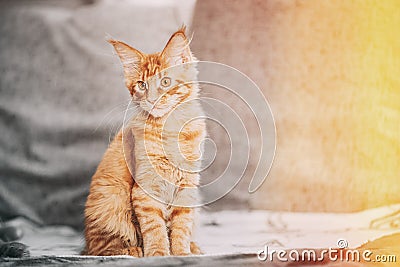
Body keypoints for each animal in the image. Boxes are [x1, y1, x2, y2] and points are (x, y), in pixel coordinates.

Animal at [83, 26, 205, 258]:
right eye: (141, 85)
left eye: (165, 82)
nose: (151, 99)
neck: (167, 129)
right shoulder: (145, 189)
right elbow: (154, 228)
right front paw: (158, 254)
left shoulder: (187, 186)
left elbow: (181, 226)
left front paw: (182, 253)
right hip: (111, 199)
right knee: (102, 248)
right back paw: (133, 250)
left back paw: (194, 247)